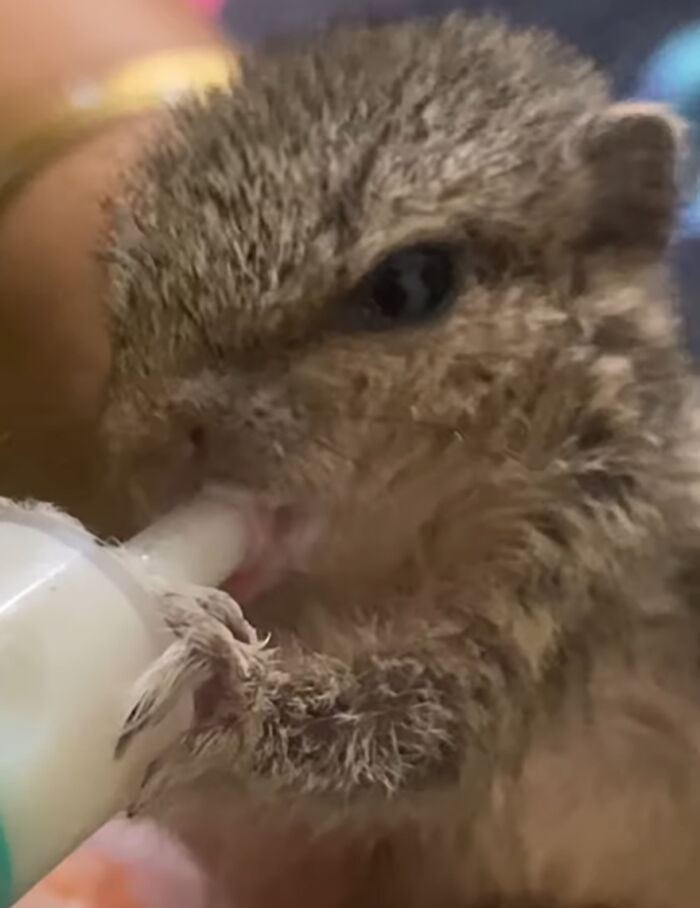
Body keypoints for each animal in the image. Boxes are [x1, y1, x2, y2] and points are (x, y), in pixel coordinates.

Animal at [87, 12, 700, 908]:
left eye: (412, 284)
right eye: (122, 268)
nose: (154, 436)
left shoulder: (573, 577)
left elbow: (421, 725)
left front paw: (223, 685)